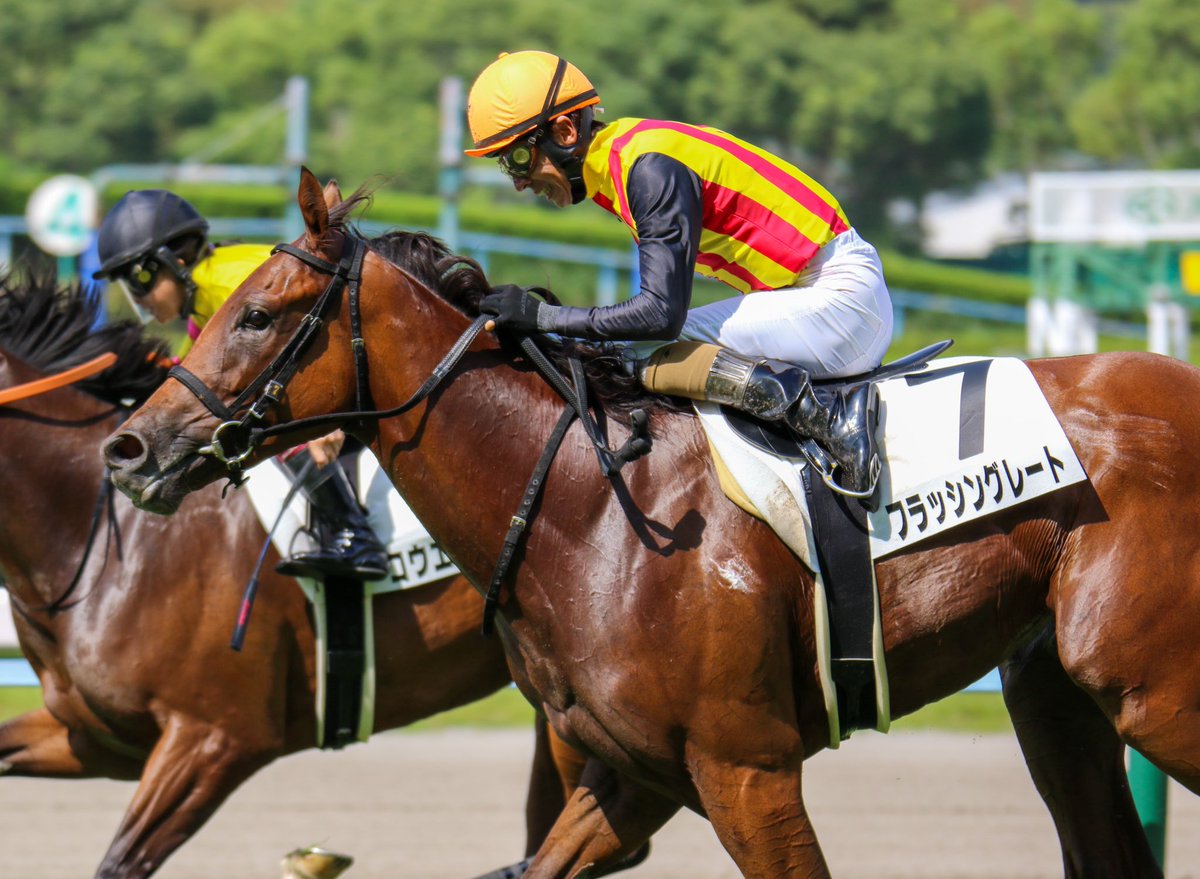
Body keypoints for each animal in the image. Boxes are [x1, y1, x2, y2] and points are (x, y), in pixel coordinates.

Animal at [0, 272, 587, 879]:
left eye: (255, 319)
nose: (128, 453)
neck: (102, 544)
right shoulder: (96, 737)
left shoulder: (215, 740)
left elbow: (118, 863)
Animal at [104, 168, 1194, 878]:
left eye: (258, 312)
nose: (131, 449)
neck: (586, 513)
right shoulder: (637, 775)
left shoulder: (748, 769)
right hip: (1057, 695)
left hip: (1155, 694)